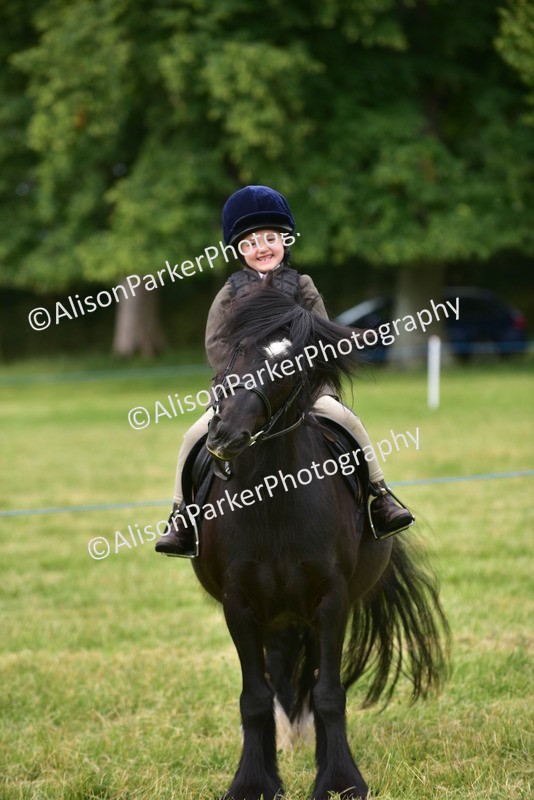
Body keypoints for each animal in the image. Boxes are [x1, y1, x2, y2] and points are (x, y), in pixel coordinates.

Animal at [189, 284, 448, 800]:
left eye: (290, 367)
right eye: (235, 352)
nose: (223, 435)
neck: (272, 500)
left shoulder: (331, 600)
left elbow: (329, 693)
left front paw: (340, 781)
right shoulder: (239, 604)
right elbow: (254, 697)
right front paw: (254, 782)